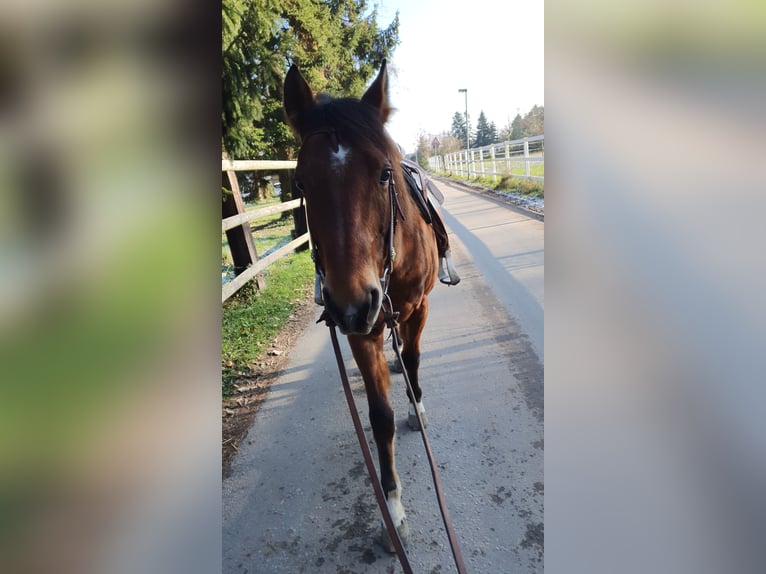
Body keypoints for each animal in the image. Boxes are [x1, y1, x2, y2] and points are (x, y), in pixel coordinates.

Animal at [284, 60, 448, 552]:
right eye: (300, 181)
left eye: (383, 174)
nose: (353, 303)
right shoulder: (362, 331)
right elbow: (379, 418)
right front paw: (392, 508)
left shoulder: (417, 309)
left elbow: (413, 359)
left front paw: (416, 406)